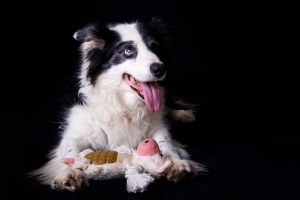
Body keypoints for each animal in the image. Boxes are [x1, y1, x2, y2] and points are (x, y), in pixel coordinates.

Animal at [32, 16, 206, 191]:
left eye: (155, 47)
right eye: (128, 51)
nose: (160, 69)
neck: (123, 105)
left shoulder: (158, 127)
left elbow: (168, 144)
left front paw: (179, 164)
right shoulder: (75, 133)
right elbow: (69, 153)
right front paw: (70, 173)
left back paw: (185, 115)